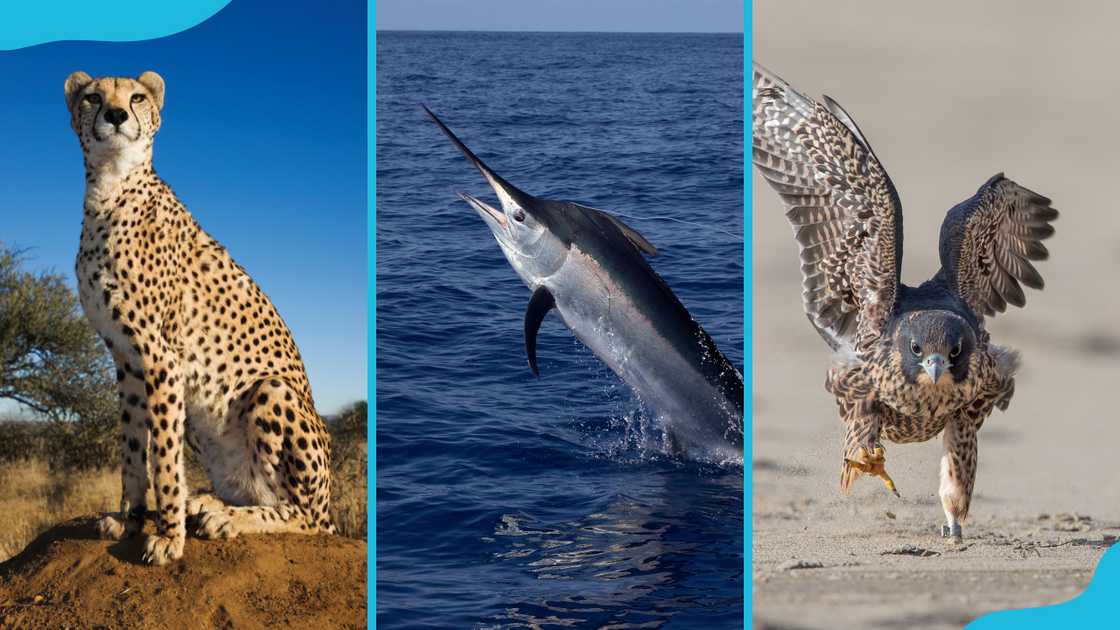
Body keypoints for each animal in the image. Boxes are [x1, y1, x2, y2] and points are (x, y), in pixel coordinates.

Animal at [64, 71, 333, 560]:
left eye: (136, 97)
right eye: (93, 96)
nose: (116, 115)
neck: (110, 189)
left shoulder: (162, 360)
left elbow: (165, 460)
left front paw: (169, 536)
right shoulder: (126, 360)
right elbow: (134, 449)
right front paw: (130, 519)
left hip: (269, 390)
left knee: (304, 517)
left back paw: (228, 518)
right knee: (259, 493)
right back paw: (211, 502)